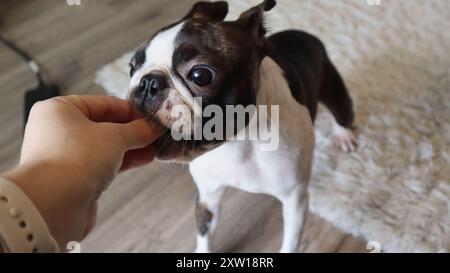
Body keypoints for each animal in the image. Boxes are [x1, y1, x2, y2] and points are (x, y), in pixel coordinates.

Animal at [128, 0, 356, 252]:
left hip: (332, 86)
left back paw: (344, 135)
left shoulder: (294, 201)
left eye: (200, 75)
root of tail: (301, 33)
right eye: (132, 67)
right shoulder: (207, 196)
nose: (147, 82)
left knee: (343, 110)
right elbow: (204, 234)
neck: (239, 142)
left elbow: (290, 243)